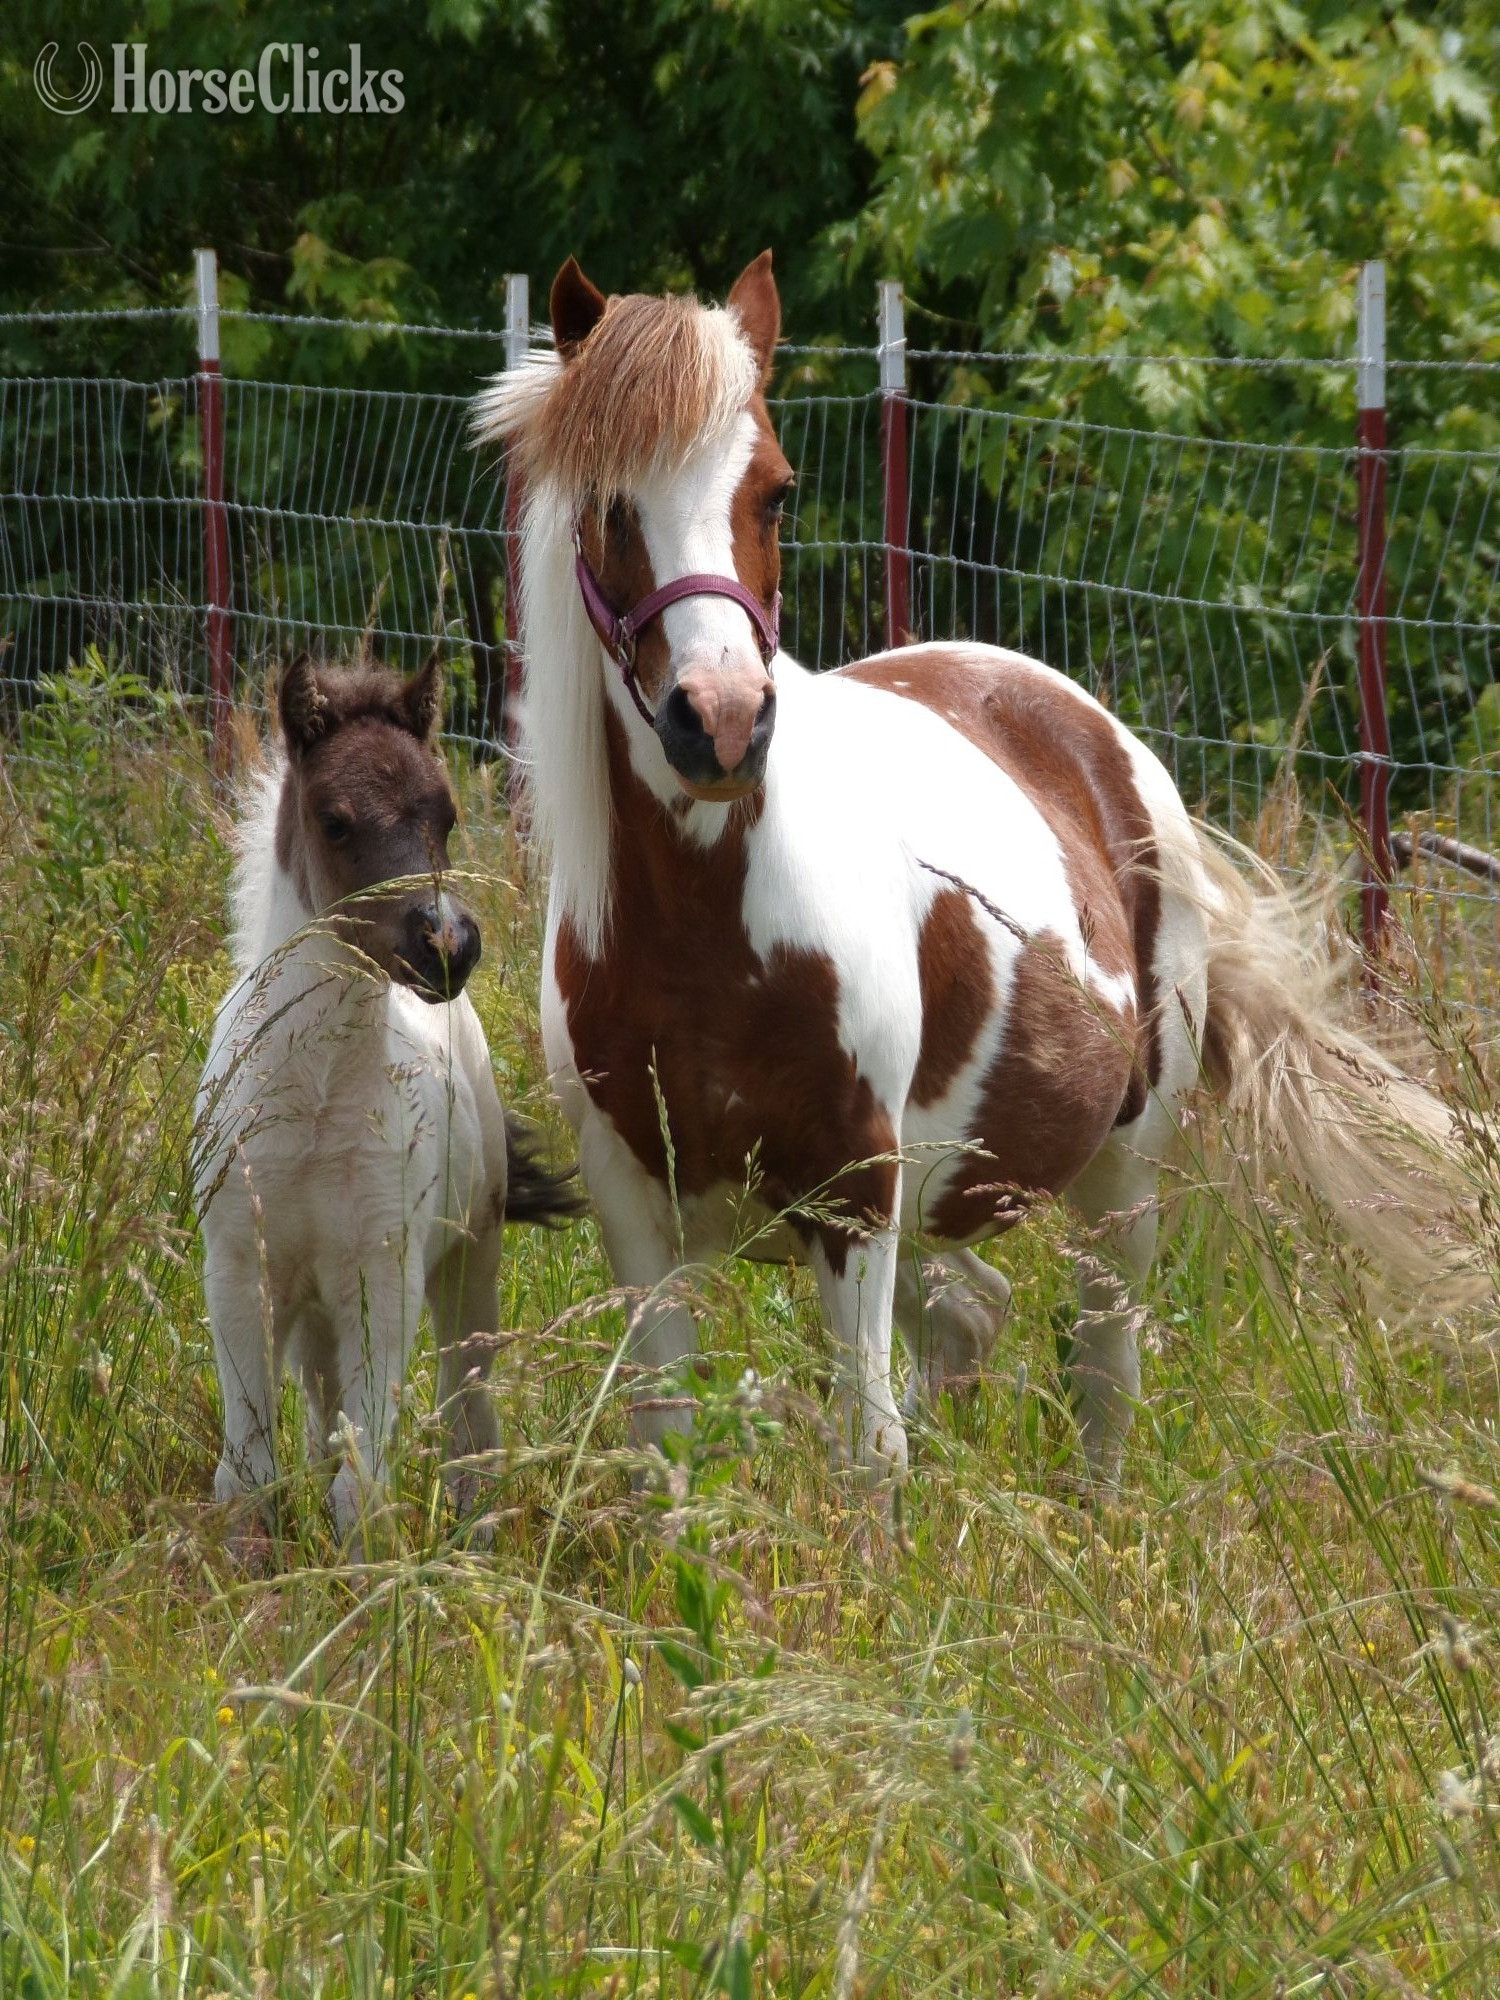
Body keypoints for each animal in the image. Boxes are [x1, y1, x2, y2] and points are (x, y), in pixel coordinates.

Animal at [195, 651, 578, 1542]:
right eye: (335, 821)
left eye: (446, 816)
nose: (449, 944)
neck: (312, 1097)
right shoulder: (238, 1271)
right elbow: (250, 1475)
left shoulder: (383, 1275)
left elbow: (361, 1483)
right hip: (315, 1307)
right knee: (321, 1399)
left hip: (468, 1258)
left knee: (468, 1396)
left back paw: (474, 1519)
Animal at [472, 251, 1474, 1489]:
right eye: (610, 505)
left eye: (779, 490)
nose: (723, 723)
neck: (711, 933)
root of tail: (1097, 732)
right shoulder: (636, 1209)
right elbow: (665, 1452)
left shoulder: (856, 1189)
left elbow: (869, 1453)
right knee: (976, 1313)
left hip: (1117, 1176)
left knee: (1101, 1364)